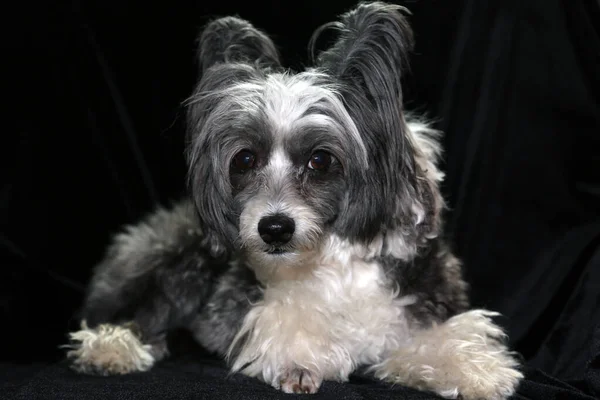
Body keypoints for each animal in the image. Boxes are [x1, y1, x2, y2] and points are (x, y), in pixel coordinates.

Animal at [65, 1, 524, 398]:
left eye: (320, 160)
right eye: (245, 159)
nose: (274, 228)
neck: (333, 257)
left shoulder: (423, 298)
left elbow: (442, 335)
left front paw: (473, 368)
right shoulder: (244, 305)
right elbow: (284, 320)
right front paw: (301, 360)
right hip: (174, 258)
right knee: (138, 313)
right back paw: (111, 348)